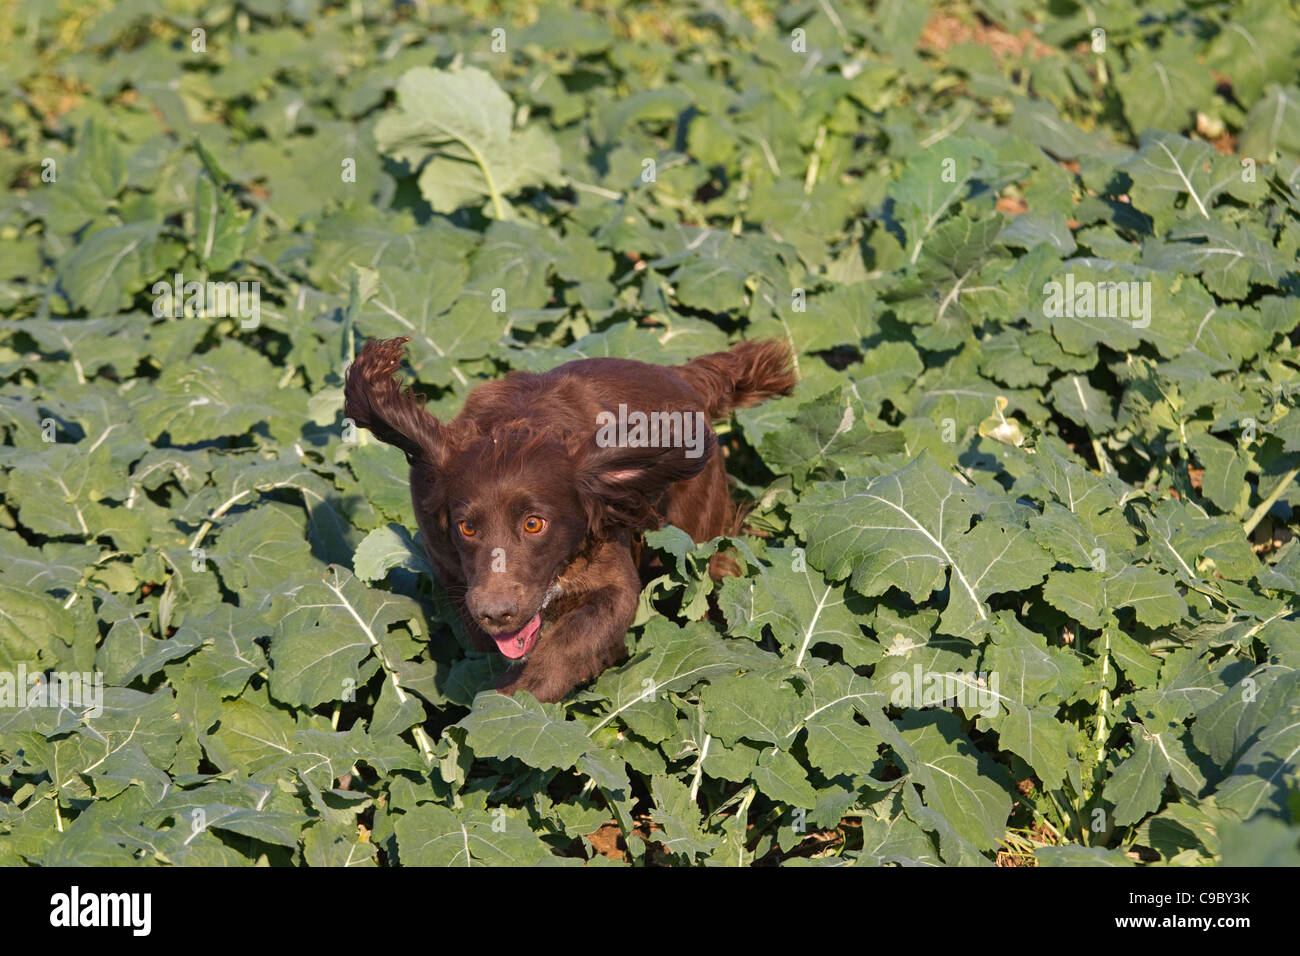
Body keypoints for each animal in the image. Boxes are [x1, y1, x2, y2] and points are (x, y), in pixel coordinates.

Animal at [340, 335, 795, 702]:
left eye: (534, 523)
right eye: (467, 528)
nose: (497, 613)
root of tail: (679, 374)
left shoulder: (612, 579)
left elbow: (574, 638)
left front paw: (516, 697)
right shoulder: (450, 569)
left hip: (698, 537)